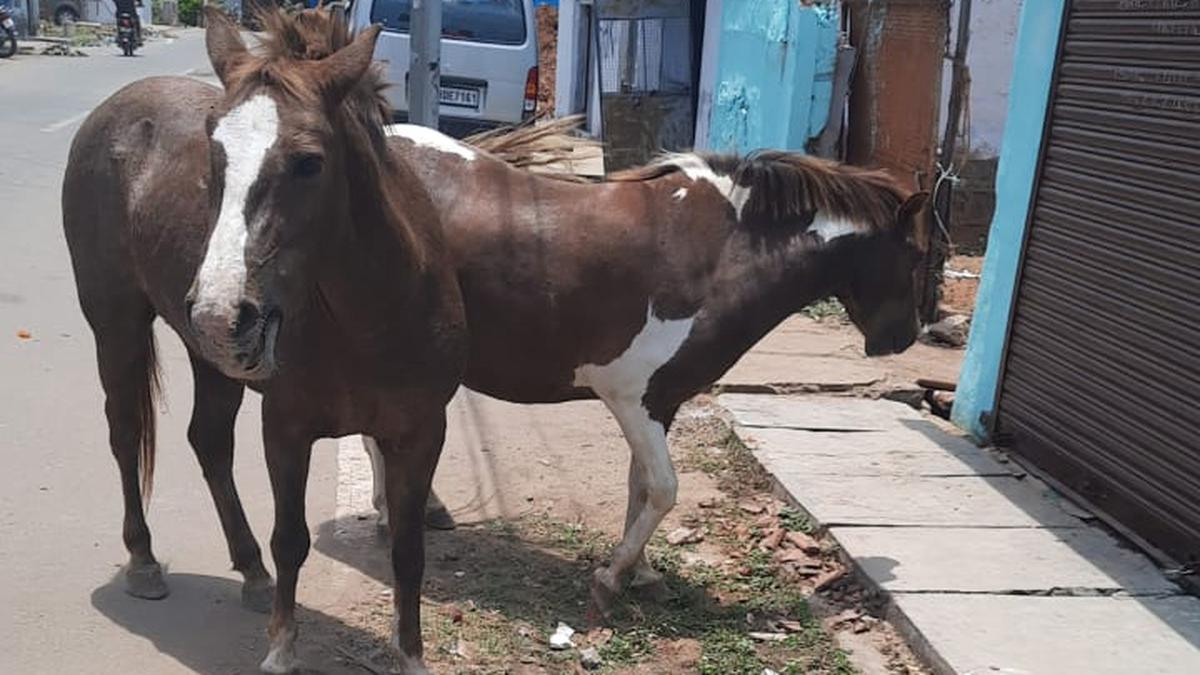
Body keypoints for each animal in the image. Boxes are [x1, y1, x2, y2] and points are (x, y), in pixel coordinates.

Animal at [60, 10, 465, 672]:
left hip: (214, 360)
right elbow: (292, 539)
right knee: (125, 433)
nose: (221, 309)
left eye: (309, 163)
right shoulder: (286, 427)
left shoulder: (421, 431)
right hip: (116, 323)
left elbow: (408, 551)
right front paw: (281, 649)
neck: (370, 321)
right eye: (214, 155)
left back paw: (249, 571)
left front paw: (411, 655)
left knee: (208, 441)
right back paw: (144, 560)